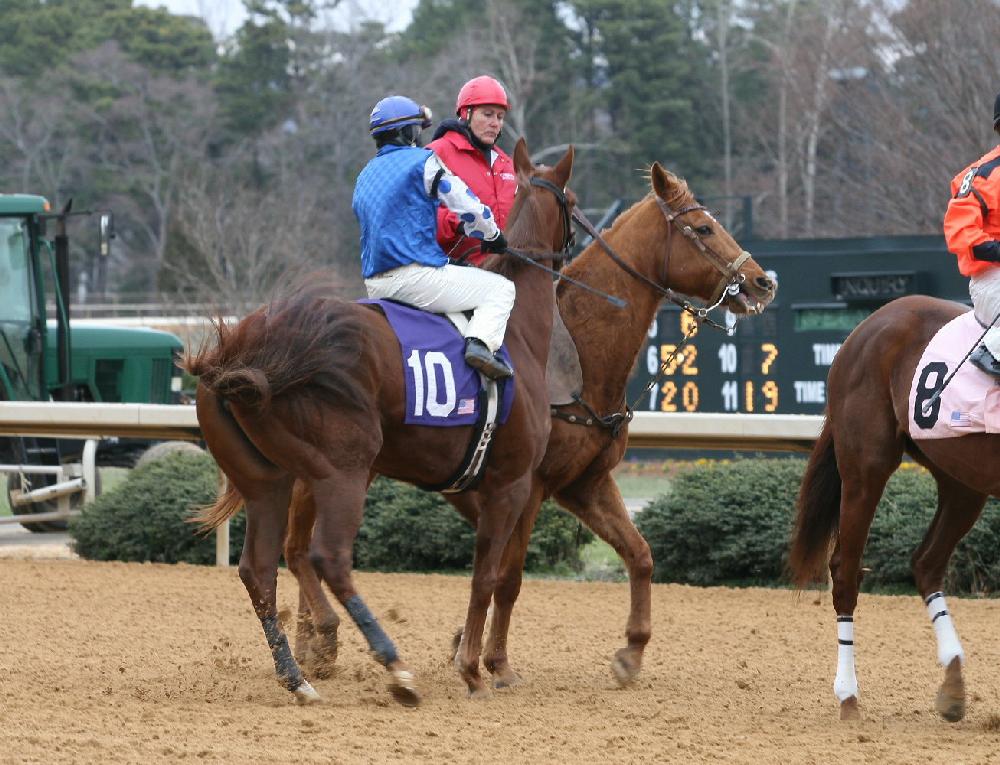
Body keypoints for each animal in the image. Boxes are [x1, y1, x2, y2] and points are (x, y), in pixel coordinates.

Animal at [185, 137, 577, 707]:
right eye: (574, 202)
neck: (516, 335)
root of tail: (244, 350)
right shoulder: (512, 484)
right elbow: (487, 576)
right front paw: (473, 671)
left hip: (268, 480)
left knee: (259, 569)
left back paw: (298, 679)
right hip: (343, 471)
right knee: (328, 557)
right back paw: (394, 667)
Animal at [789, 294, 991, 722]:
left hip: (962, 477)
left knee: (926, 562)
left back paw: (952, 682)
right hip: (866, 467)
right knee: (845, 570)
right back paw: (848, 695)